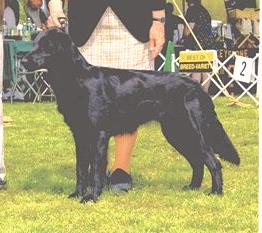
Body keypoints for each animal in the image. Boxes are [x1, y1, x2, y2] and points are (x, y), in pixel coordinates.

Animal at [22, 28, 239, 202]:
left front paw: (92, 197)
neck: (77, 78)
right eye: (34, 43)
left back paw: (215, 193)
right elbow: (81, 169)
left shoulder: (99, 134)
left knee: (213, 162)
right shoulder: (80, 134)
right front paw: (77, 194)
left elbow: (96, 169)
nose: (23, 60)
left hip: (192, 131)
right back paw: (192, 187)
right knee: (197, 162)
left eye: (46, 45)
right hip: (176, 133)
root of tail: (197, 87)